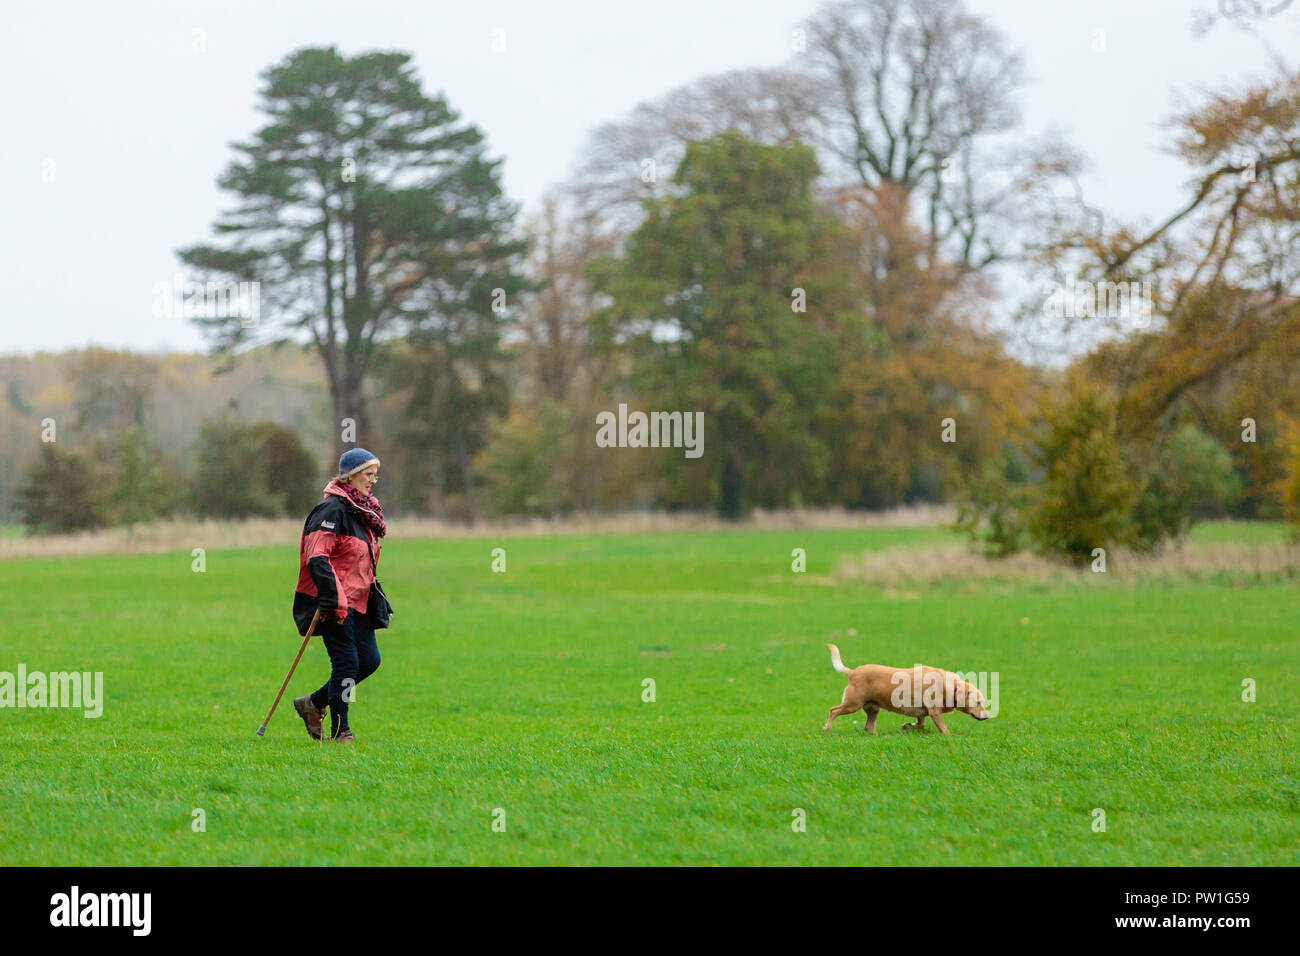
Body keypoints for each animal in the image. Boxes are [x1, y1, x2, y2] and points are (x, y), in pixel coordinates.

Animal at [821, 647, 993, 738]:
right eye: (978, 702)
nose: (987, 717)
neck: (952, 686)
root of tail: (852, 672)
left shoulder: (922, 713)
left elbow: (920, 725)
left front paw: (907, 726)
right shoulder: (935, 712)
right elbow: (944, 729)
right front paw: (949, 737)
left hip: (873, 708)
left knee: (868, 727)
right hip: (852, 704)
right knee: (833, 711)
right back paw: (827, 729)